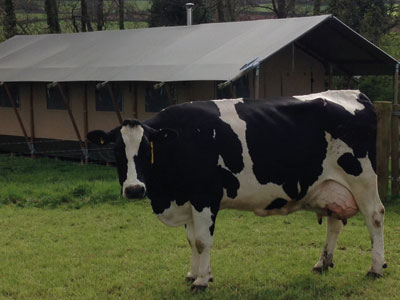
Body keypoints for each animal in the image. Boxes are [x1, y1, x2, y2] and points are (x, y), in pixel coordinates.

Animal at [87, 89, 384, 290]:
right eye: (116, 150)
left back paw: (376, 268)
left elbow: (201, 240)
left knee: (375, 217)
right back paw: (323, 263)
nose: (134, 189)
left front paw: (202, 281)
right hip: (332, 186)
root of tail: (355, 94)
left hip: (363, 179)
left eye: (146, 148)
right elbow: (191, 240)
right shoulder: (189, 200)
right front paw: (193, 274)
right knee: (334, 222)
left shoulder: (205, 195)